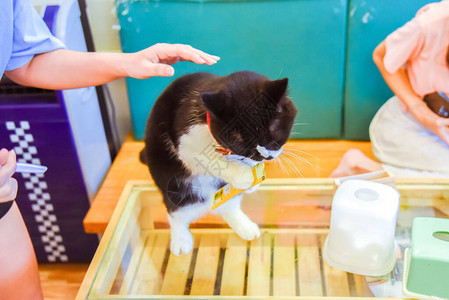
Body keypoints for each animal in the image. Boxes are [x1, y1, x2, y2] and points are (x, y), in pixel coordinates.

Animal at [138, 71, 296, 255]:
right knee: (176, 212)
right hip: (173, 184)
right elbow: (208, 159)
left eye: (273, 135)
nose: (266, 156)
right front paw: (244, 176)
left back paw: (244, 226)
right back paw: (180, 239)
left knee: (229, 205)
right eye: (244, 145)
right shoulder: (185, 144)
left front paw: (254, 179)